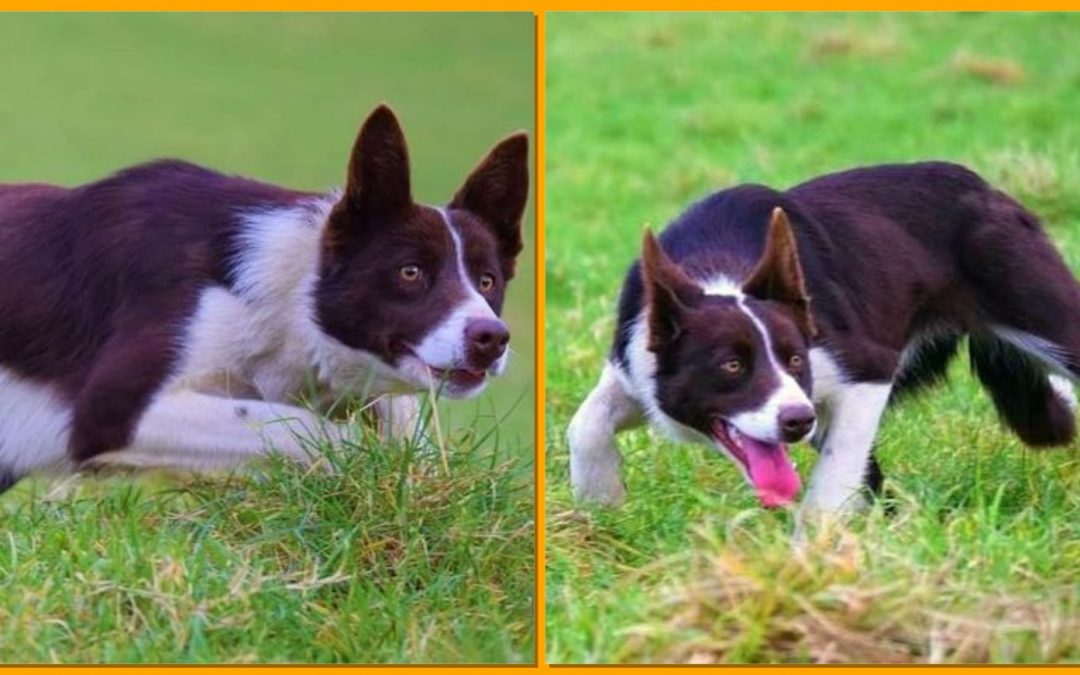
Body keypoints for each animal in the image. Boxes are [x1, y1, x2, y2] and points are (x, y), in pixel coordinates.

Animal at [0, 106, 527, 494]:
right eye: (410, 272)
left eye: (486, 281)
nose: (491, 339)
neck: (287, 300)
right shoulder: (110, 414)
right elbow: (309, 429)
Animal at [565, 162, 1080, 516]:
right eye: (731, 365)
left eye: (796, 360)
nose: (797, 420)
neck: (720, 271)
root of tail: (985, 187)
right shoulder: (636, 365)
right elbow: (584, 424)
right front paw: (601, 504)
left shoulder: (865, 370)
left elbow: (833, 478)